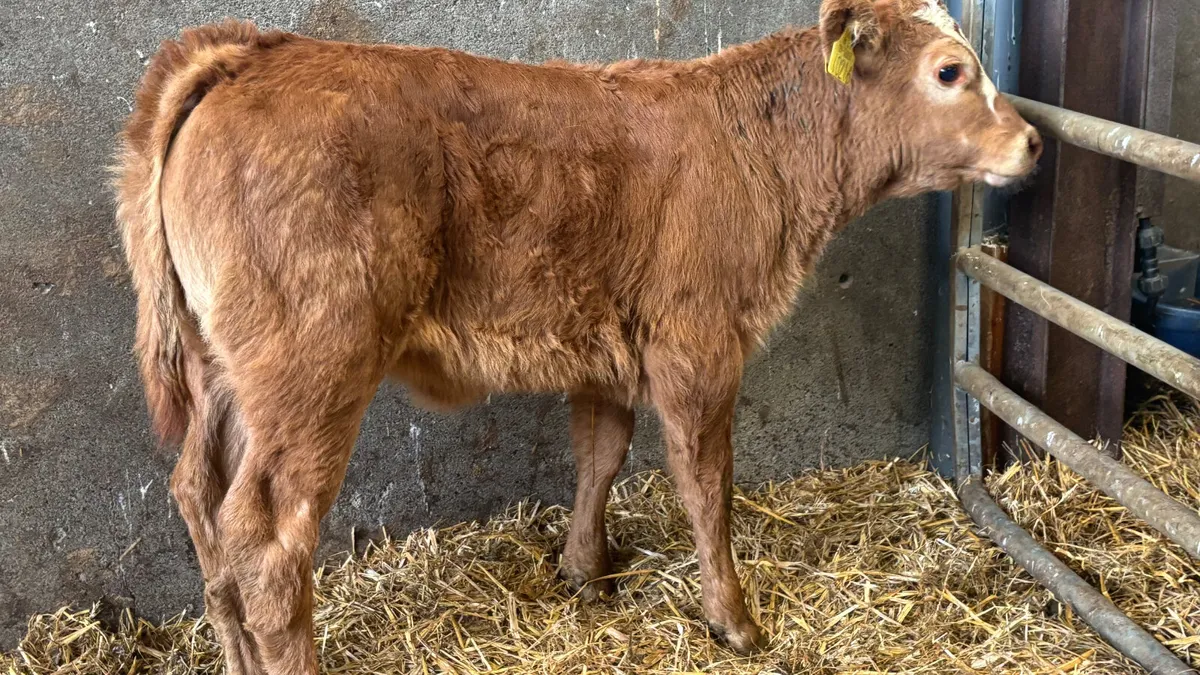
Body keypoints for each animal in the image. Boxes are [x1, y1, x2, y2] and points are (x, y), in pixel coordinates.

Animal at [113, 0, 1041, 672]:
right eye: (950, 70)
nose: (1033, 140)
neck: (759, 146)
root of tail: (251, 51)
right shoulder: (698, 344)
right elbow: (706, 485)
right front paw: (734, 619)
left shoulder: (604, 344)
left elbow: (600, 453)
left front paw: (584, 570)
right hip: (312, 368)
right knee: (267, 539)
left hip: (221, 372)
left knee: (200, 500)